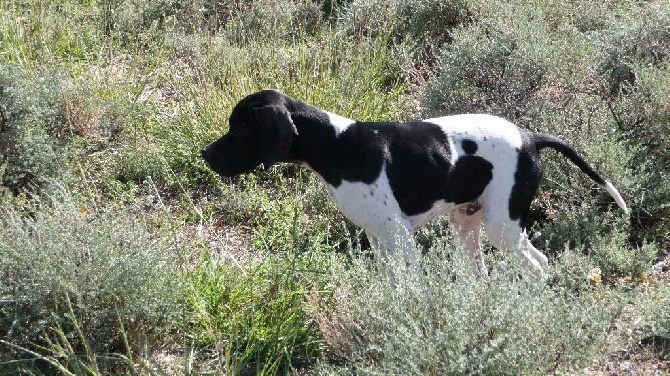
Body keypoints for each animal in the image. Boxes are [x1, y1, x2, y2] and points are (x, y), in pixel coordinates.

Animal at [202, 89, 632, 274]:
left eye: (240, 129)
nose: (205, 154)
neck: (336, 145)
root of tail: (530, 138)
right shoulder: (378, 239)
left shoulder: (399, 239)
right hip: (466, 224)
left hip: (502, 227)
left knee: (539, 265)